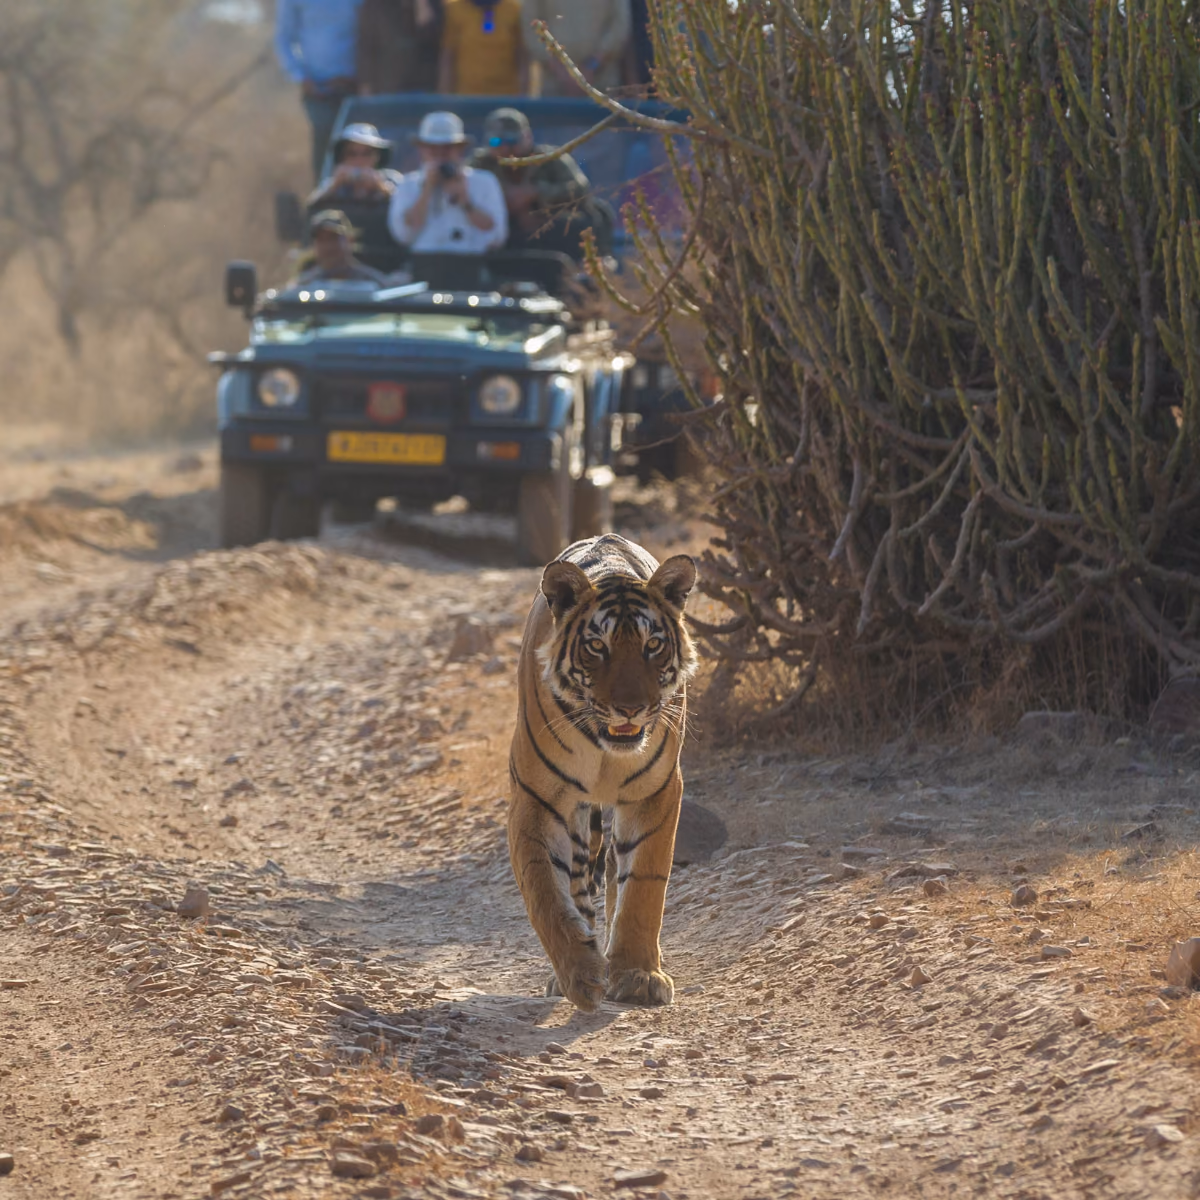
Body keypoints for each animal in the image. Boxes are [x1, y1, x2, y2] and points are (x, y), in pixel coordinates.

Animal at [507, 533, 697, 1011]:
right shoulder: (537, 799)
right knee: (578, 881)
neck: (605, 750)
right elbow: (545, 891)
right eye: (598, 647)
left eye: (653, 645)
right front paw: (580, 974)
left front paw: (637, 975)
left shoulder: (656, 793)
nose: (630, 708)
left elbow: (643, 886)